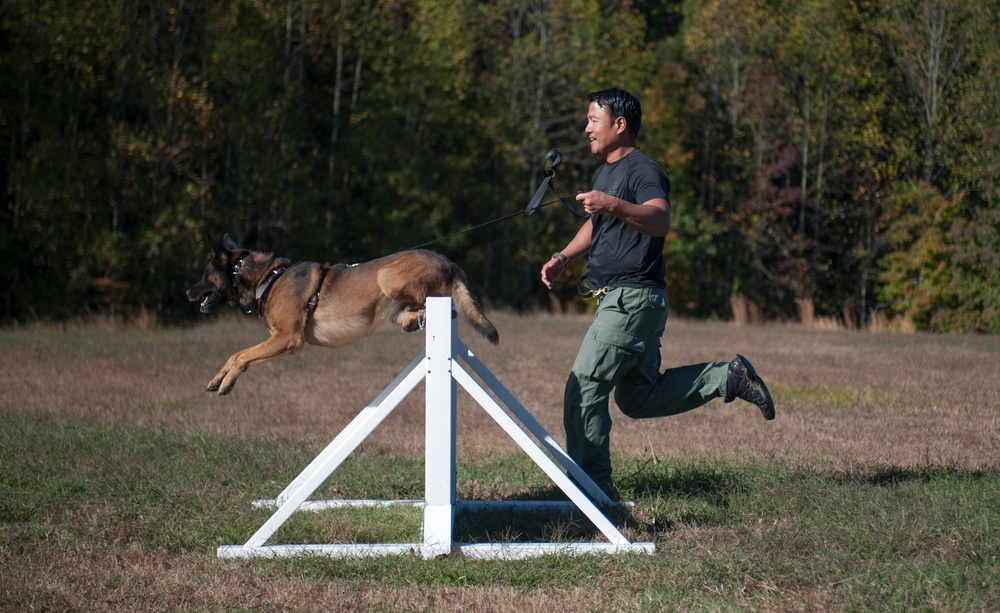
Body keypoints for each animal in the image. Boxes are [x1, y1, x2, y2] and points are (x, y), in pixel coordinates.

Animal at [186, 232, 498, 394]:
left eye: (204, 273)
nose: (187, 292)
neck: (267, 278)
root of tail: (448, 262)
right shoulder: (278, 340)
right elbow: (236, 354)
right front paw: (218, 378)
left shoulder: (287, 339)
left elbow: (242, 356)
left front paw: (228, 382)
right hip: (393, 301)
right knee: (430, 310)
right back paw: (414, 319)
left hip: (387, 277)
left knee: (447, 307)